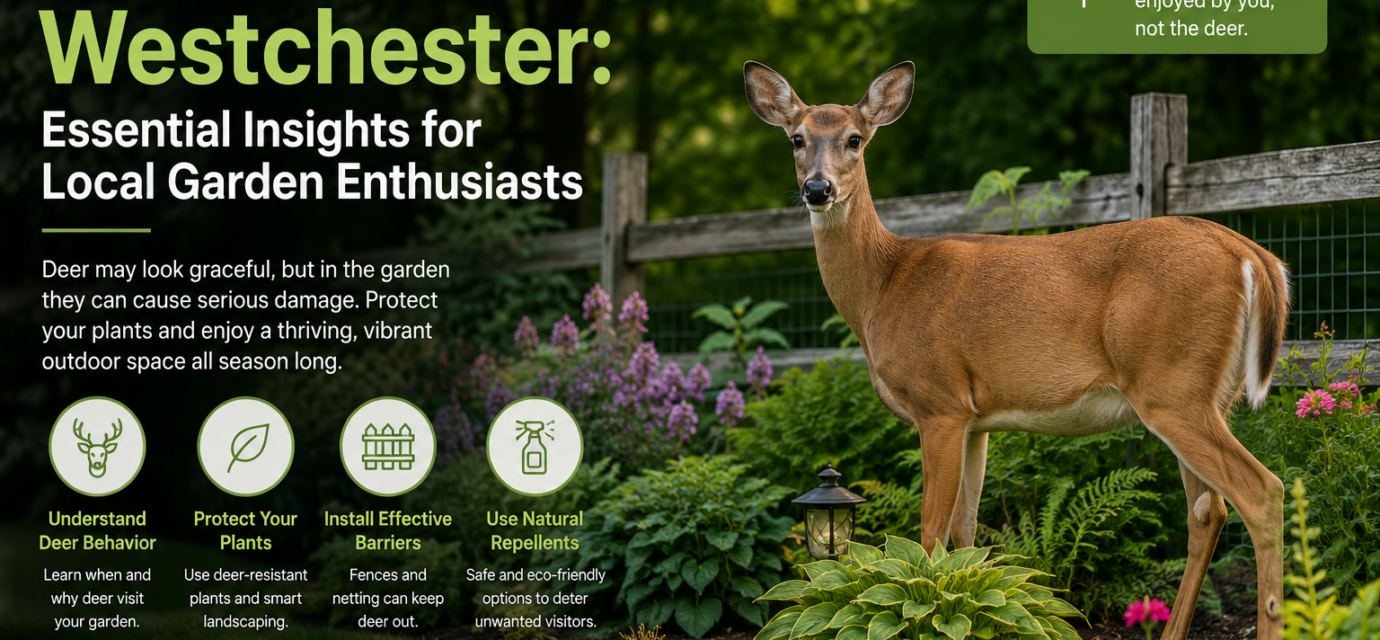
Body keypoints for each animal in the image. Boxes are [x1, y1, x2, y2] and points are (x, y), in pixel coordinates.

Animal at [744, 60, 1288, 640]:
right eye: (797, 139)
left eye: (854, 139)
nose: (817, 188)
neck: (883, 286)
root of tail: (1254, 256)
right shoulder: (975, 420)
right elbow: (965, 531)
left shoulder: (938, 401)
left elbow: (930, 529)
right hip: (1204, 393)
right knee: (1208, 511)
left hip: (1172, 386)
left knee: (1261, 492)